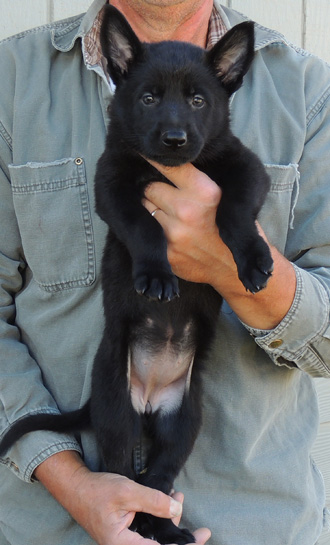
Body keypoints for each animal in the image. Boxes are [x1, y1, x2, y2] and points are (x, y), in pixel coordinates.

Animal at [0, 6, 274, 540]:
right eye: (148, 98)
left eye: (197, 100)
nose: (175, 139)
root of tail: (148, 399)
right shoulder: (113, 184)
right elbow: (144, 227)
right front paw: (157, 275)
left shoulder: (244, 165)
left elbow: (233, 210)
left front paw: (251, 259)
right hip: (116, 413)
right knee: (126, 475)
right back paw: (150, 526)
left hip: (184, 421)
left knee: (159, 479)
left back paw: (167, 529)